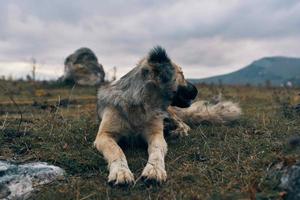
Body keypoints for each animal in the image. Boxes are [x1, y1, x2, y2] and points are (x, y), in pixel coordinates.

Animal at [94, 46, 241, 185]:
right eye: (181, 74)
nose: (197, 90)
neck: (142, 102)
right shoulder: (104, 136)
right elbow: (117, 150)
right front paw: (121, 171)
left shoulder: (155, 134)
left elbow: (157, 150)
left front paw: (154, 169)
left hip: (168, 113)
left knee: (184, 125)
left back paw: (176, 131)